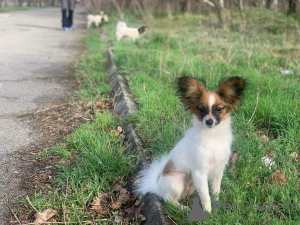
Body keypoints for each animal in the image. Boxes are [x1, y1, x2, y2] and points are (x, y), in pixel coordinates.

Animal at [136, 76, 246, 212]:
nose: (209, 121)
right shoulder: (199, 173)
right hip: (178, 180)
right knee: (170, 201)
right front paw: (208, 212)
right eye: (201, 109)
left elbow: (215, 190)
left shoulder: (218, 169)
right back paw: (183, 208)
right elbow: (205, 195)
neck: (213, 136)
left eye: (219, 109)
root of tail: (158, 188)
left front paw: (217, 206)